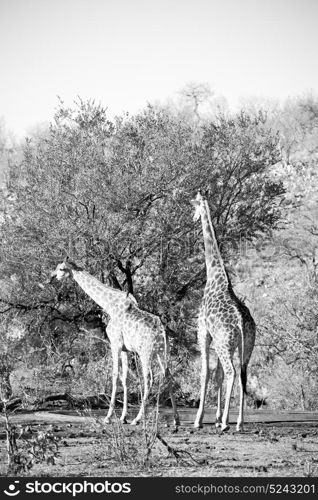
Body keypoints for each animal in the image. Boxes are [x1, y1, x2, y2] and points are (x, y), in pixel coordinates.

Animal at [49, 258, 179, 426]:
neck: (110, 305)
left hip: (145, 353)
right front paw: (123, 417)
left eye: (61, 269)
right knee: (167, 375)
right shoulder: (125, 349)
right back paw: (176, 419)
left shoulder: (115, 343)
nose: (51, 277)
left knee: (149, 378)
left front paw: (109, 417)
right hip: (161, 352)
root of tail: (162, 331)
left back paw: (137, 419)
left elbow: (115, 375)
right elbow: (125, 379)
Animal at [191, 191, 256, 430]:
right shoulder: (216, 339)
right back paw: (238, 422)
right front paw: (218, 418)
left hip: (223, 343)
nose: (193, 217)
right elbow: (217, 374)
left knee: (231, 372)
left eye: (195, 206)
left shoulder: (203, 332)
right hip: (244, 346)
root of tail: (240, 323)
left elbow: (205, 373)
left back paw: (229, 423)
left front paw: (200, 420)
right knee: (242, 374)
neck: (215, 276)